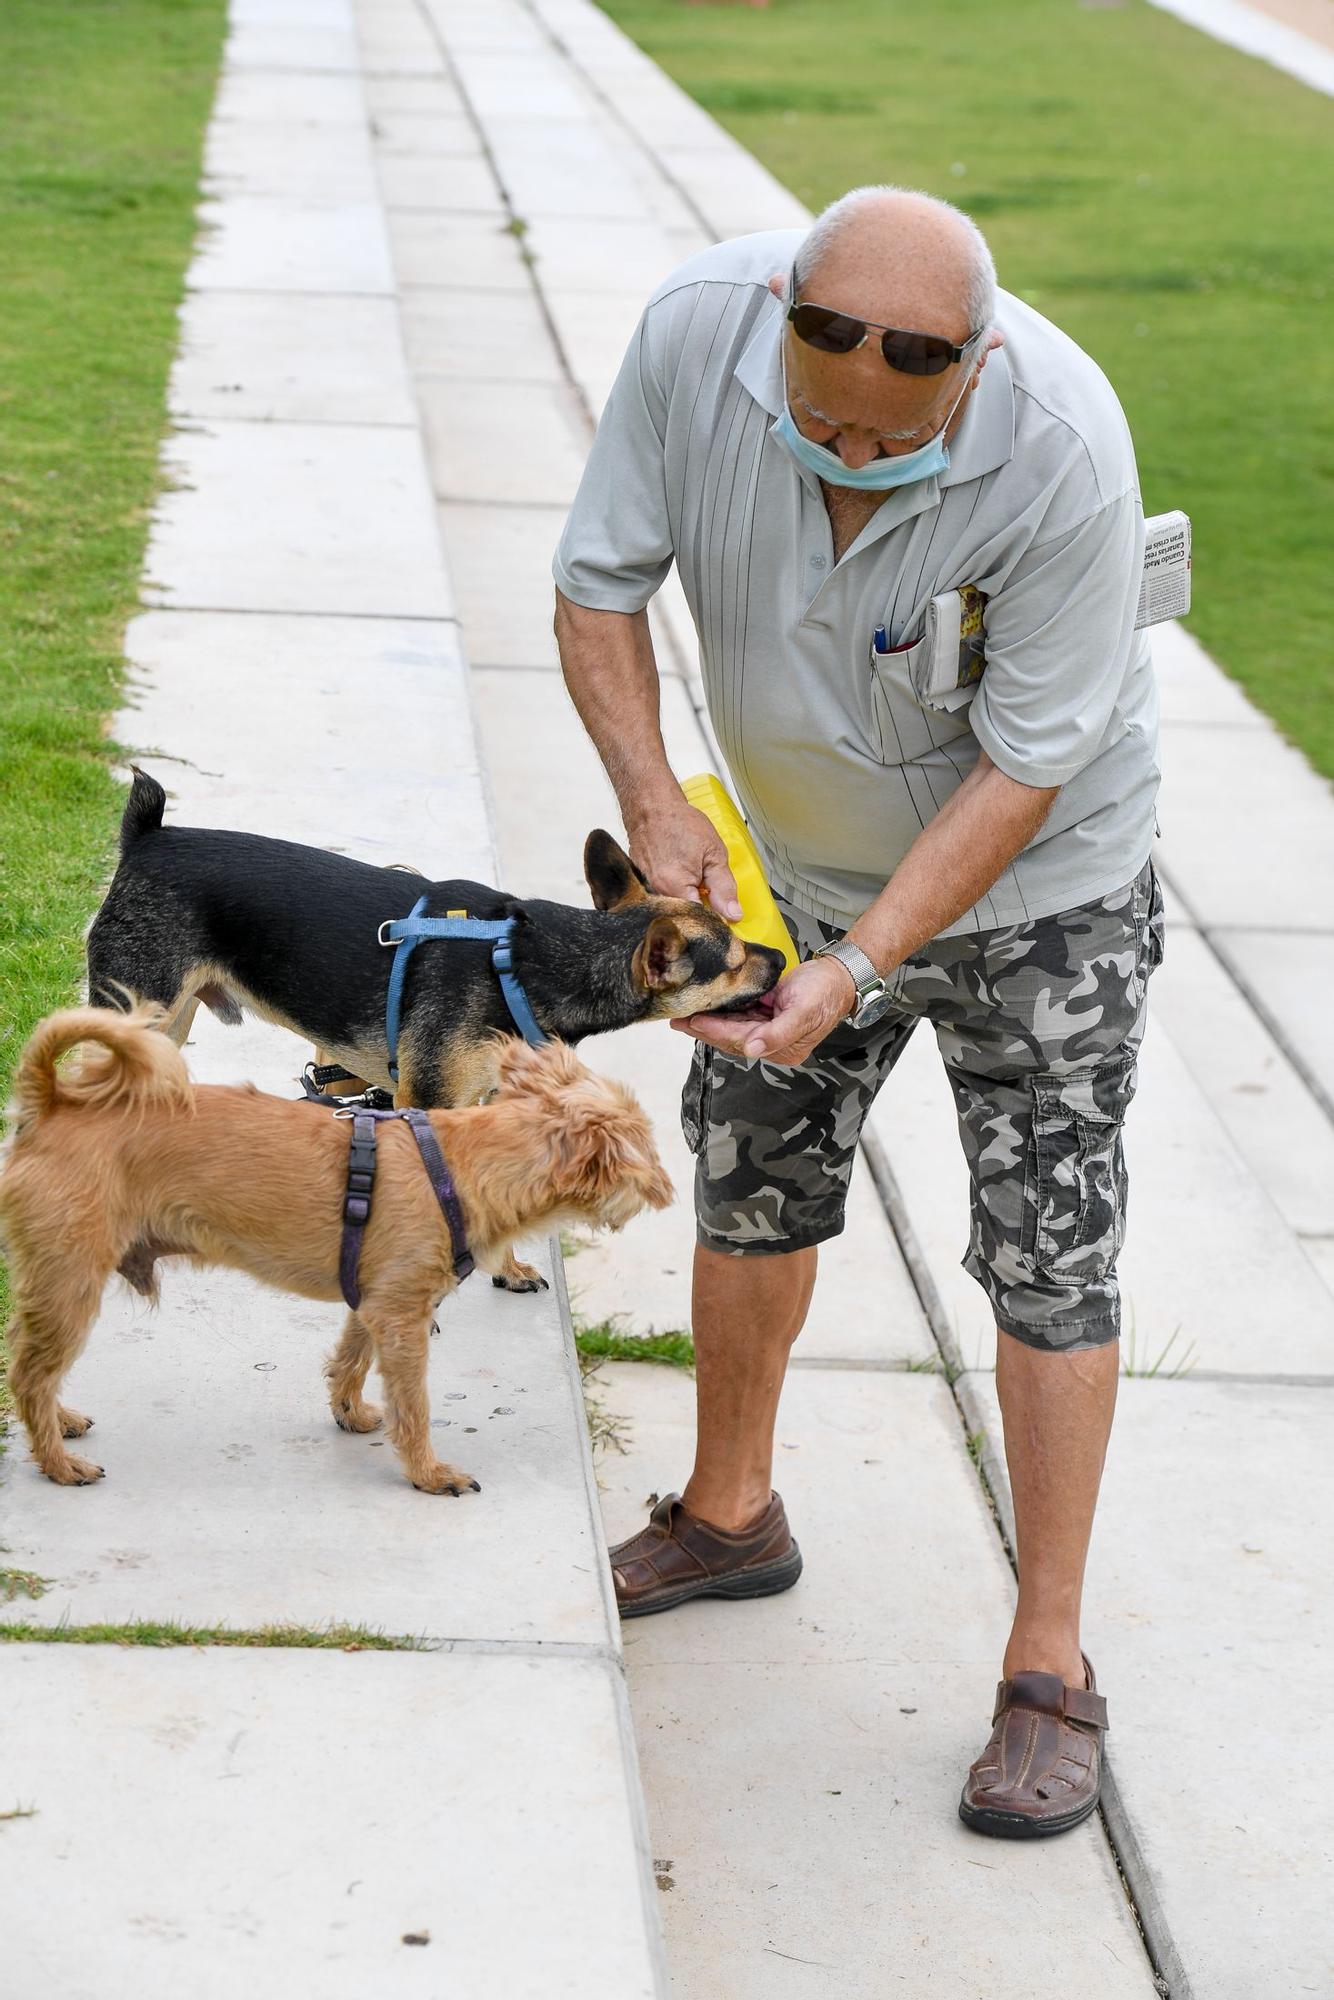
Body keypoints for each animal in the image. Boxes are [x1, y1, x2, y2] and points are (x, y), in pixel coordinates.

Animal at [0, 1016, 668, 1504]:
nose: (664, 1186)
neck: (460, 1166)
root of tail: (52, 1104)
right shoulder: (402, 1320)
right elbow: (414, 1406)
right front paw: (427, 1473)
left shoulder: (376, 1303)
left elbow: (351, 1359)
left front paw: (350, 1412)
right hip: (70, 1285)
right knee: (29, 1376)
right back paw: (58, 1463)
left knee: (34, 1372)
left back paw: (61, 1423)